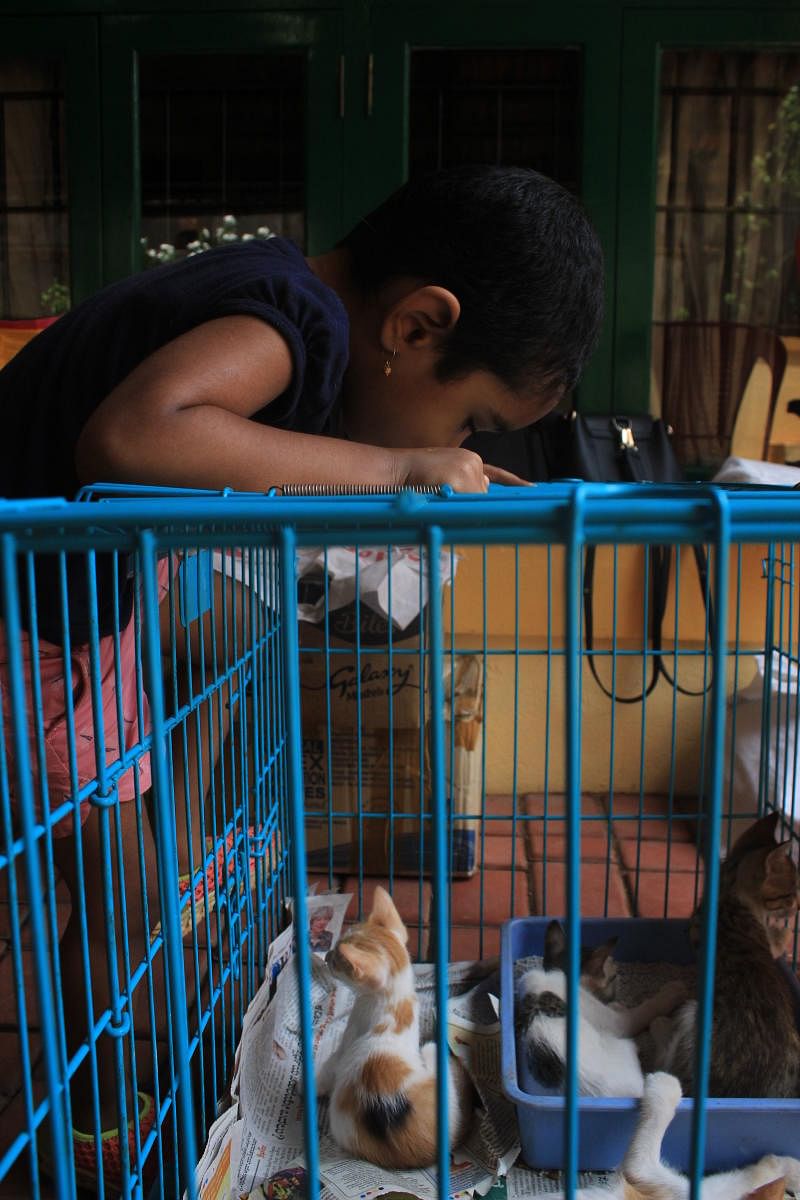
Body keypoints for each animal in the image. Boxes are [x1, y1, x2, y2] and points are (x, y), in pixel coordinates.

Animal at [314, 888, 474, 1166]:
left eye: (338, 960)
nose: (328, 956)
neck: (393, 996)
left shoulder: (352, 1028)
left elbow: (331, 1064)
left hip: (434, 1059)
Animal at [520, 916, 690, 1099]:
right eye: (614, 977)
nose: (616, 991)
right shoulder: (620, 1023)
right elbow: (646, 1009)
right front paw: (671, 992)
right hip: (626, 1045)